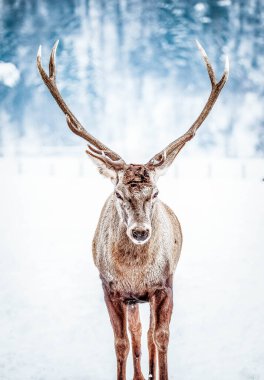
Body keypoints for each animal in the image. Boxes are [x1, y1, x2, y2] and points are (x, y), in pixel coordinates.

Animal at [37, 40, 229, 378]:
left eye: (156, 192)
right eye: (117, 192)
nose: (140, 231)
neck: (135, 274)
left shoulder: (164, 284)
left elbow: (161, 337)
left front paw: (161, 372)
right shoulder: (110, 288)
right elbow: (122, 343)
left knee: (150, 334)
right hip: (131, 301)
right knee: (138, 334)